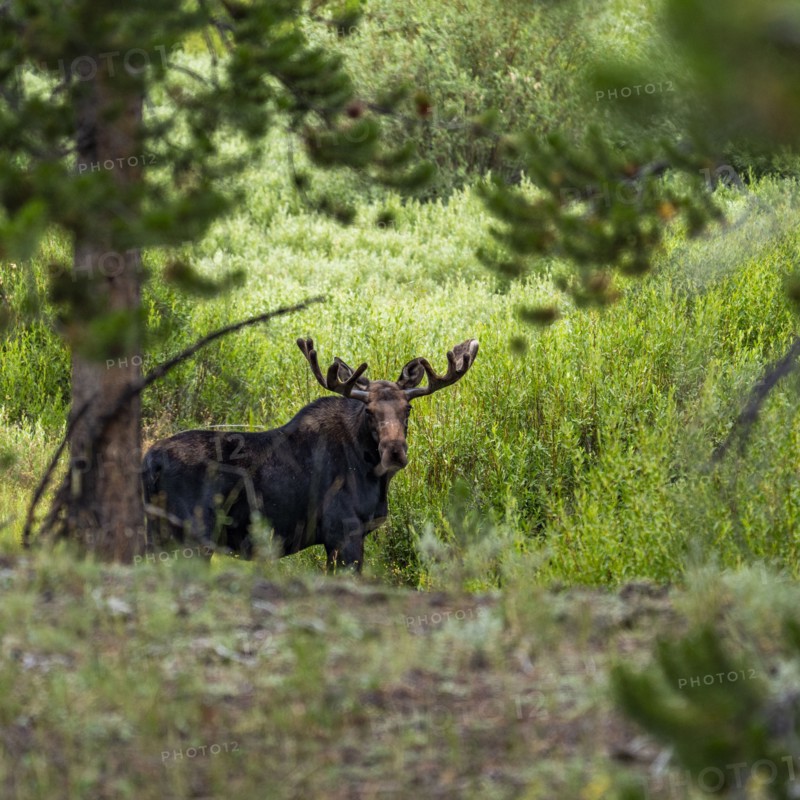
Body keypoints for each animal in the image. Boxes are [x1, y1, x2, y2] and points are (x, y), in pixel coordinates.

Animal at [141, 337, 479, 571]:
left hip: (159, 537)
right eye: (369, 411)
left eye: (407, 408)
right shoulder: (344, 531)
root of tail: (149, 463)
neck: (372, 474)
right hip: (191, 537)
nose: (394, 452)